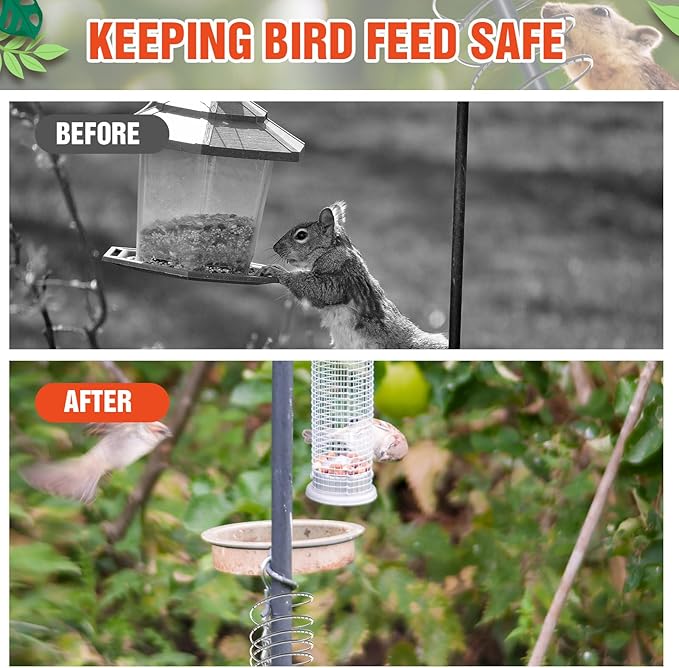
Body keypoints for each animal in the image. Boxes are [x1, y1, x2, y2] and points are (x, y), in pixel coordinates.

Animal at [262, 201, 449, 349]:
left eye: (301, 235)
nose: (275, 247)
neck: (331, 250)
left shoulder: (340, 278)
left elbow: (318, 290)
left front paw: (278, 271)